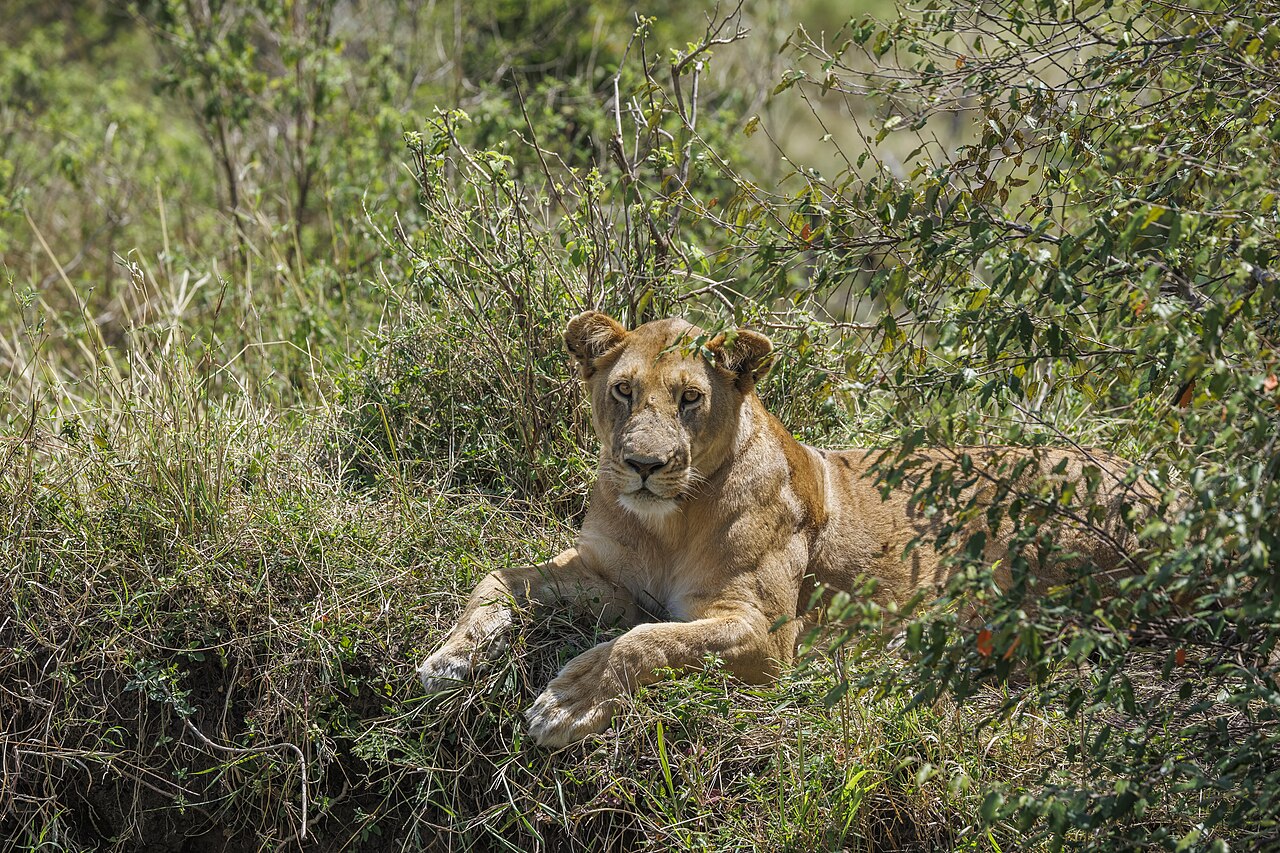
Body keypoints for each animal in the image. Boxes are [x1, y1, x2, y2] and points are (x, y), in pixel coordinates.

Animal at [418, 311, 1155, 748]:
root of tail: (1154, 477)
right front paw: (449, 656)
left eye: (690, 397)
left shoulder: (765, 635)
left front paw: (567, 702)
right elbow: (501, 577)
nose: (644, 466)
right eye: (624, 390)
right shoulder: (609, 576)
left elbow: (642, 643)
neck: (666, 525)